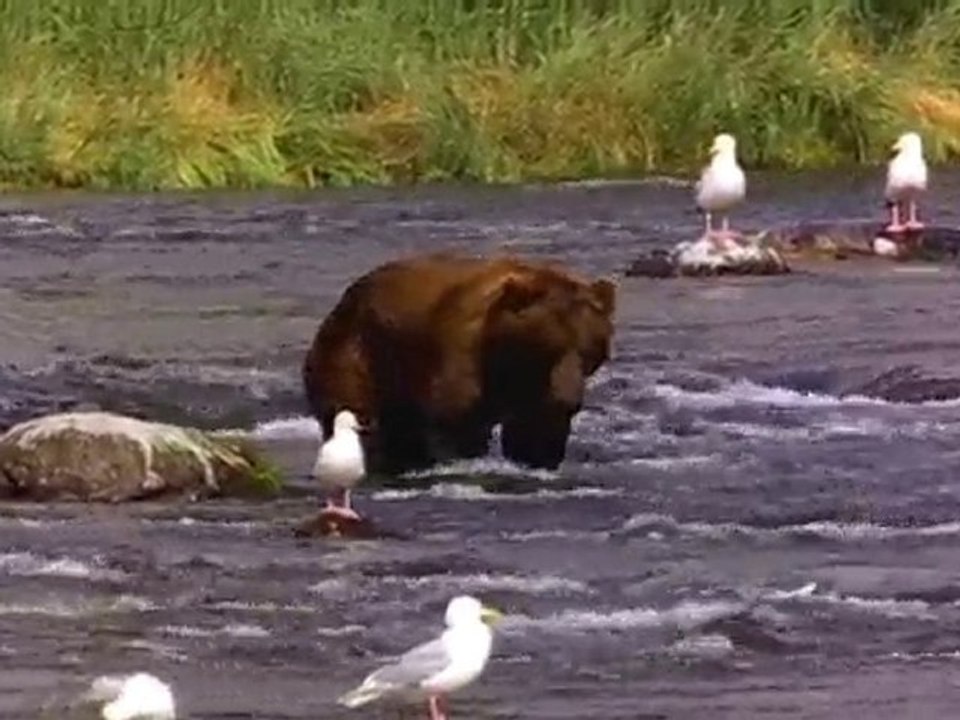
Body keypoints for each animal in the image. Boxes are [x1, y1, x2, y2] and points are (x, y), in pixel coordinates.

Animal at [302, 252, 617, 475]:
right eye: (551, 347)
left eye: (590, 351)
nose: (570, 400)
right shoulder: (460, 357)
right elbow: (457, 426)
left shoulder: (534, 395)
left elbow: (536, 433)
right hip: (358, 355)